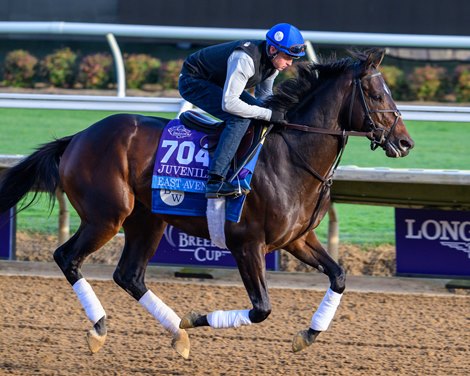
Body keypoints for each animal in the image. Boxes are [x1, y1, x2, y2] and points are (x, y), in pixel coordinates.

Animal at [0, 49, 412, 358]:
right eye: (377, 94)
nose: (405, 142)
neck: (289, 157)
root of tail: (77, 138)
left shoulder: (297, 239)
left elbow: (338, 275)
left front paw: (307, 334)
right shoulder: (247, 244)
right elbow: (261, 309)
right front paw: (195, 317)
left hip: (147, 220)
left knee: (129, 275)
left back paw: (176, 333)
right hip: (106, 217)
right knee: (68, 258)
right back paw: (100, 328)